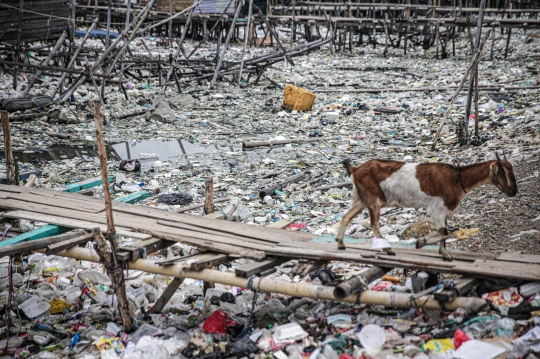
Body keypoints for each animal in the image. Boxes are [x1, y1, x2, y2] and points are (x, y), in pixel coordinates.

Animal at [336, 153, 516, 262]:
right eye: (503, 172)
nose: (514, 191)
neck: (457, 179)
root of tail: (355, 169)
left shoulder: (443, 211)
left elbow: (444, 232)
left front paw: (445, 254)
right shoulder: (436, 209)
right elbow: (445, 232)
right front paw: (420, 242)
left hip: (361, 199)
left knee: (346, 216)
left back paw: (340, 243)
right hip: (374, 199)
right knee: (373, 225)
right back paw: (388, 249)